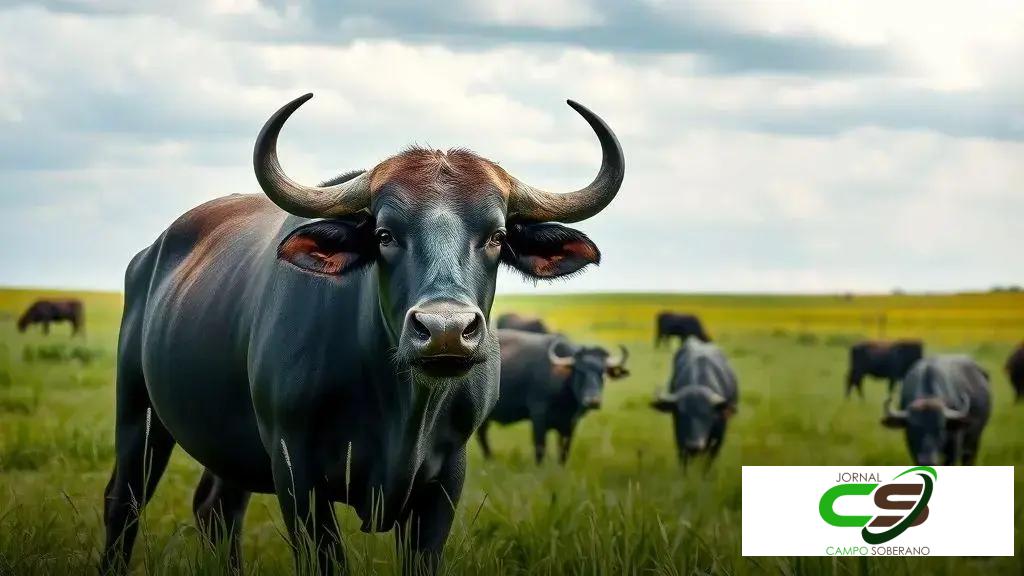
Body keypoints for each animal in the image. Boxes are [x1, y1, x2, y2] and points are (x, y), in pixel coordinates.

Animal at [477, 329, 629, 464]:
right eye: (579, 371)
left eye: (602, 372)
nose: (592, 401)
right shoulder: (538, 416)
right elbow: (540, 447)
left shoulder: (570, 424)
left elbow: (564, 450)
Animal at [651, 337, 738, 467]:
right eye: (681, 414)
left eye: (707, 414)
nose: (694, 446)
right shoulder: (680, 438)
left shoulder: (719, 438)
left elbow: (708, 463)